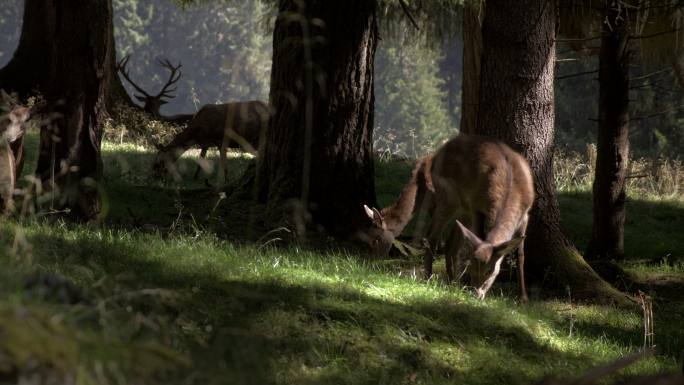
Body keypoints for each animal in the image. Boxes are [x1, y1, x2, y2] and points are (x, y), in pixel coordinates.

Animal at [364, 134, 536, 300]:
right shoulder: (475, 208)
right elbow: (477, 239)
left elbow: (520, 254)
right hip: (450, 199)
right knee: (434, 237)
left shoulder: (525, 215)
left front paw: (523, 298)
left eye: (490, 270)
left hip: (459, 208)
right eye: (472, 266)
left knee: (449, 243)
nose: (476, 293)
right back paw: (431, 278)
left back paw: (451, 281)